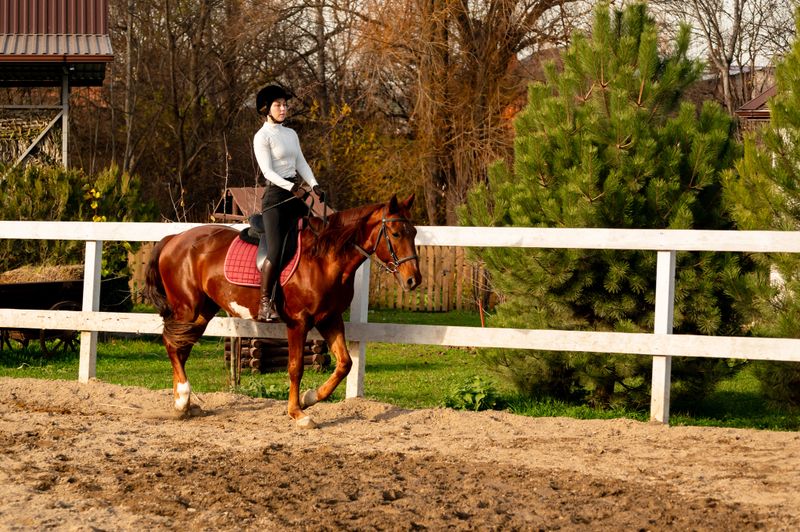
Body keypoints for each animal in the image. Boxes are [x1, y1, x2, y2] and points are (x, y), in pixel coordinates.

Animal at [143, 194, 421, 428]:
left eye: (415, 232)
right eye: (396, 233)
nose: (414, 280)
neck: (324, 258)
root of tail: (173, 239)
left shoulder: (330, 318)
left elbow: (345, 363)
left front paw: (310, 398)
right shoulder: (299, 322)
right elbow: (295, 367)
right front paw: (298, 413)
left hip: (202, 311)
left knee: (181, 348)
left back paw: (183, 405)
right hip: (187, 308)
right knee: (172, 344)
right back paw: (182, 399)